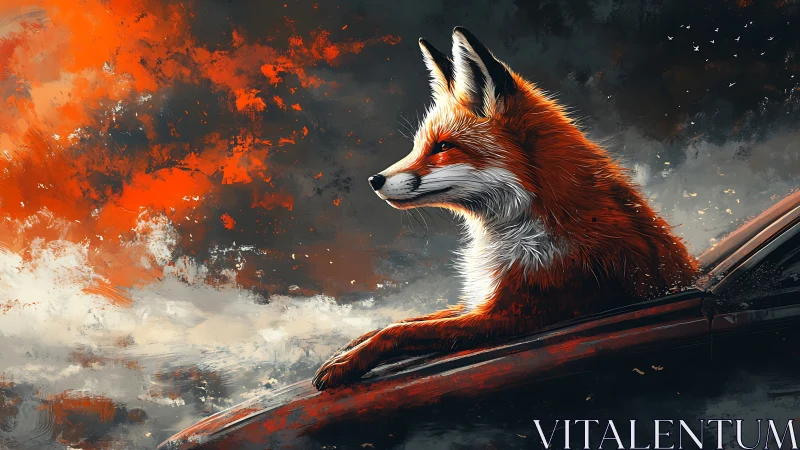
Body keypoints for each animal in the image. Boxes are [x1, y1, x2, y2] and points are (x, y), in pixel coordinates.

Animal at [312, 27, 699, 391]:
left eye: (443, 147)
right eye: (420, 146)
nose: (374, 180)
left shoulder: (513, 313)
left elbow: (401, 332)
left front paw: (346, 363)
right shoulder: (478, 300)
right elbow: (404, 321)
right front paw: (347, 348)